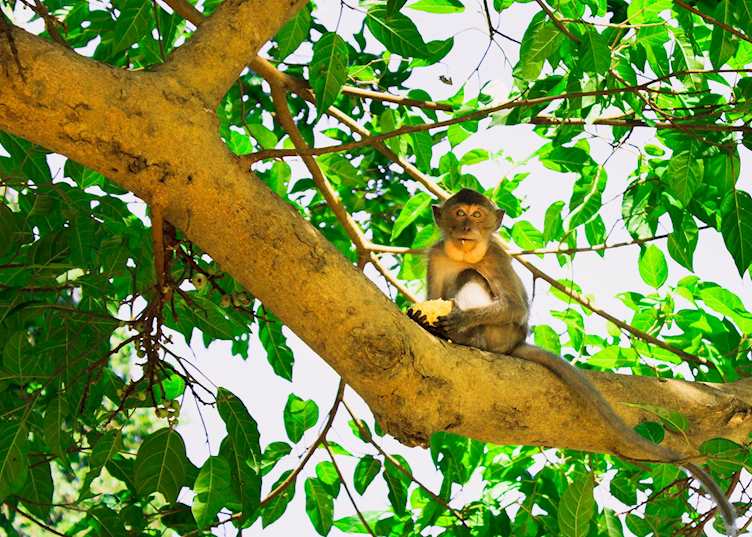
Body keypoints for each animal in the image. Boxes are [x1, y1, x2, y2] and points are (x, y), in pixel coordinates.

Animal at [427, 188, 737, 536]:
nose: (467, 228)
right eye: (459, 214)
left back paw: (467, 336)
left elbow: (515, 307)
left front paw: (460, 319)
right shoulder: (436, 256)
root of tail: (515, 344)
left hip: (500, 336)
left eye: (477, 215)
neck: (463, 254)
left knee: (473, 280)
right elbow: (433, 295)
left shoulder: (496, 255)